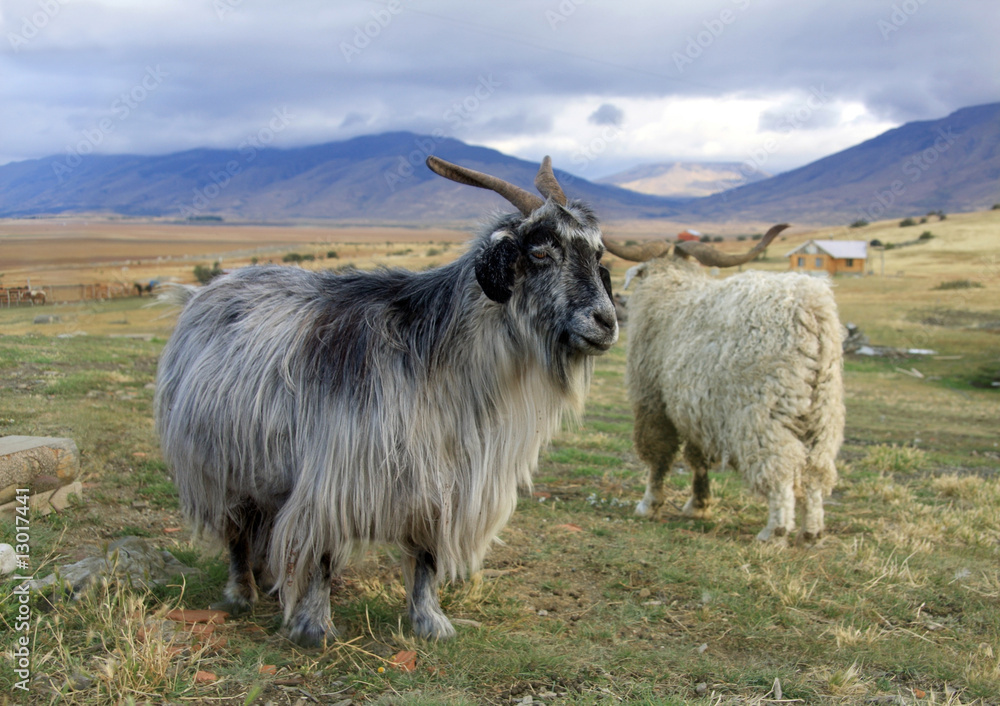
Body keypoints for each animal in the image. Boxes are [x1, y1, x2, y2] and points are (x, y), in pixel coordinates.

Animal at [155, 156, 618, 646]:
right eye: (541, 252)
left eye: (597, 254)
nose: (606, 322)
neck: (437, 360)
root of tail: (201, 292)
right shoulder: (337, 478)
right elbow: (321, 554)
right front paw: (314, 627)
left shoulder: (441, 486)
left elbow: (426, 559)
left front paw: (430, 622)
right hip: (218, 468)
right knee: (237, 534)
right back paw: (241, 592)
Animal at [605, 226, 844, 543]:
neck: (672, 288)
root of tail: (811, 309)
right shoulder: (696, 408)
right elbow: (698, 458)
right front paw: (699, 505)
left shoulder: (653, 399)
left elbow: (660, 455)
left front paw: (649, 505)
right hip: (823, 411)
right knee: (816, 469)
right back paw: (812, 532)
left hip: (763, 411)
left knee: (780, 467)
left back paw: (775, 531)